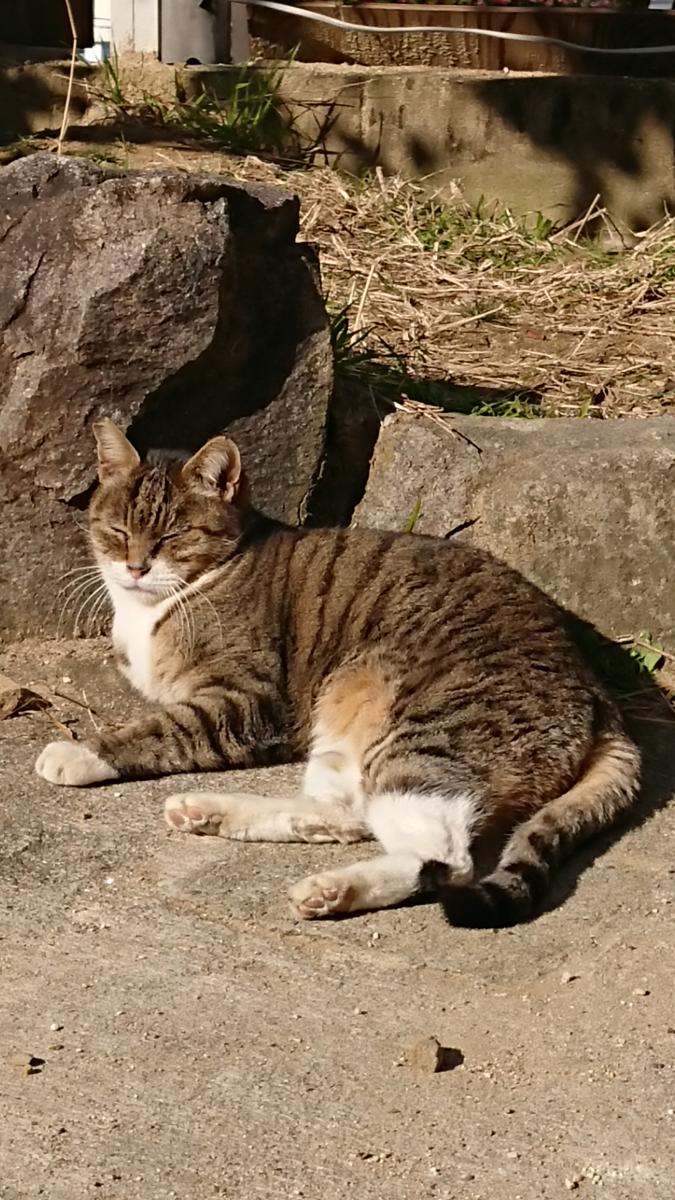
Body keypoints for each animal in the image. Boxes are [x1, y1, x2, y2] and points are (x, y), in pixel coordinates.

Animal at [36, 418, 641, 927]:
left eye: (172, 537)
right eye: (118, 530)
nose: (136, 567)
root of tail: (598, 695)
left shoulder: (248, 700)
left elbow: (158, 729)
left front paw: (80, 752)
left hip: (428, 734)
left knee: (441, 857)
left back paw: (330, 889)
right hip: (347, 732)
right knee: (353, 814)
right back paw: (212, 811)